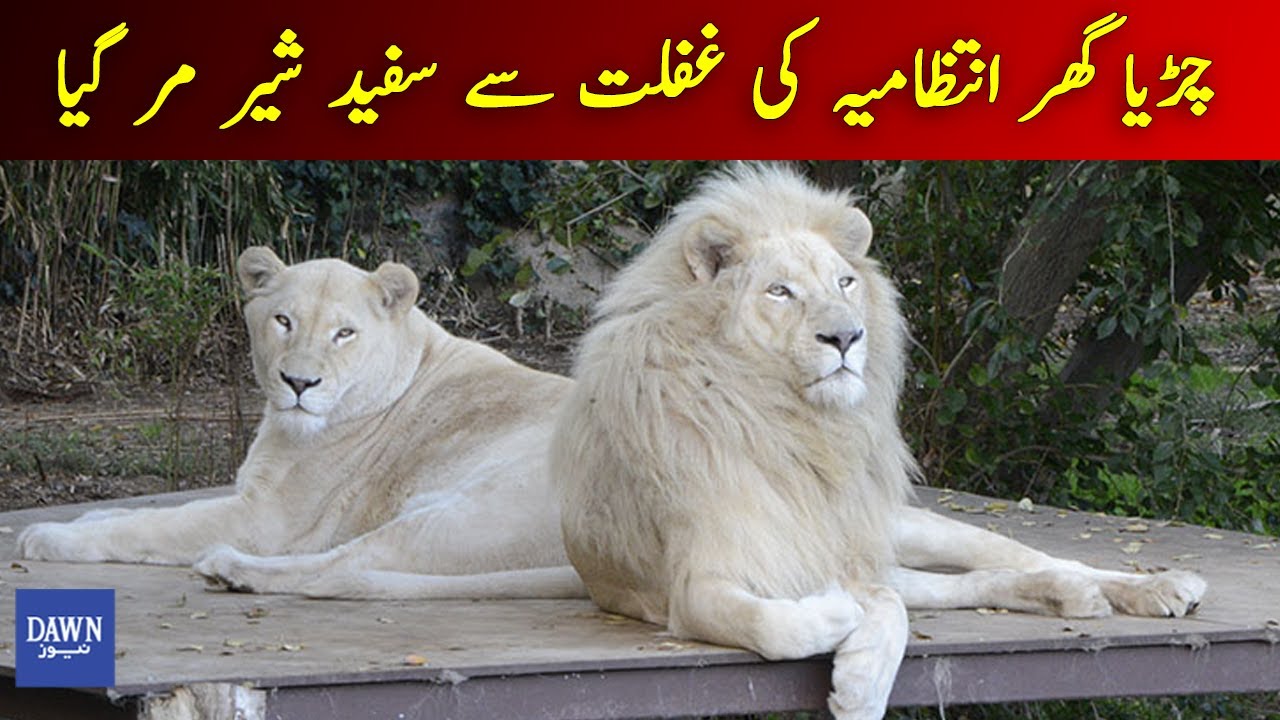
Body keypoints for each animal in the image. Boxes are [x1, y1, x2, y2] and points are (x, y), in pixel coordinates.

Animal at [17, 247, 584, 600]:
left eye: (344, 333)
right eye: (283, 321)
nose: (299, 382)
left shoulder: (267, 517)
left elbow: (152, 524)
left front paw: (45, 535)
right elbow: (147, 510)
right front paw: (87, 516)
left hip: (471, 514)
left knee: (342, 567)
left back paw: (228, 569)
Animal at [550, 165, 1207, 720]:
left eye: (844, 281)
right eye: (779, 292)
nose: (846, 336)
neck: (792, 420)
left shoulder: (841, 552)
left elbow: (887, 605)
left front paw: (861, 683)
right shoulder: (697, 585)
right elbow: (781, 624)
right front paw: (838, 622)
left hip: (909, 527)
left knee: (1031, 557)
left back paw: (1156, 586)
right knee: (970, 584)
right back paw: (1070, 596)